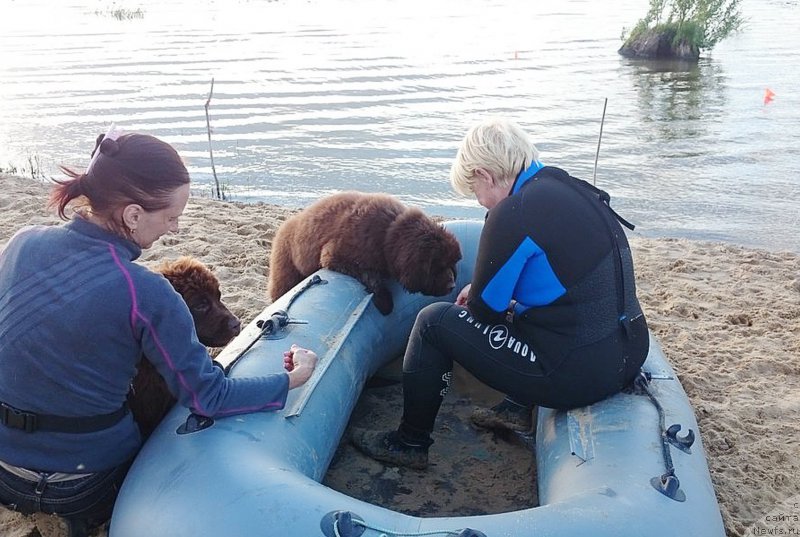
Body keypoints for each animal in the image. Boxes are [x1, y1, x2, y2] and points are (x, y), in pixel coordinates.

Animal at [268, 191, 460, 314]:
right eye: (437, 266)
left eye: (452, 264)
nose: (452, 285)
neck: (389, 233)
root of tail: (286, 225)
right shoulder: (336, 256)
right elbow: (371, 276)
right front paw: (385, 302)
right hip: (286, 272)